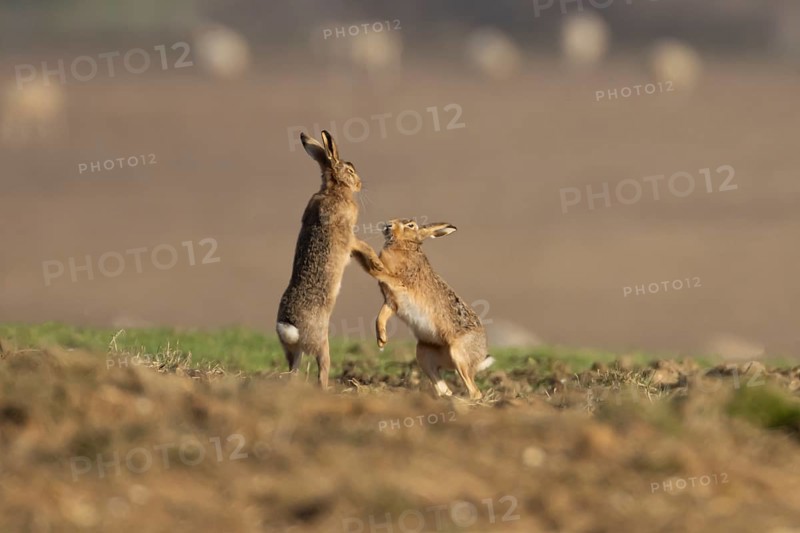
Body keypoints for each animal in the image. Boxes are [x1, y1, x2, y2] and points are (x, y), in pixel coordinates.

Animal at [276, 130, 376, 388]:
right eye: (349, 170)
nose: (359, 184)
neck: (333, 190)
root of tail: (290, 326)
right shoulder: (350, 236)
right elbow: (362, 246)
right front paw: (376, 263)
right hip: (322, 344)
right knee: (322, 370)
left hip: (293, 352)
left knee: (293, 371)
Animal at [352, 219, 494, 399]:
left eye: (410, 225)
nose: (388, 225)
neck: (406, 245)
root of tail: (481, 356)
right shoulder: (391, 302)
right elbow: (380, 317)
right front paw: (382, 340)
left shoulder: (395, 279)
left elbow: (372, 267)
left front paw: (356, 247)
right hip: (423, 353)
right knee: (443, 387)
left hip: (459, 355)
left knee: (475, 391)